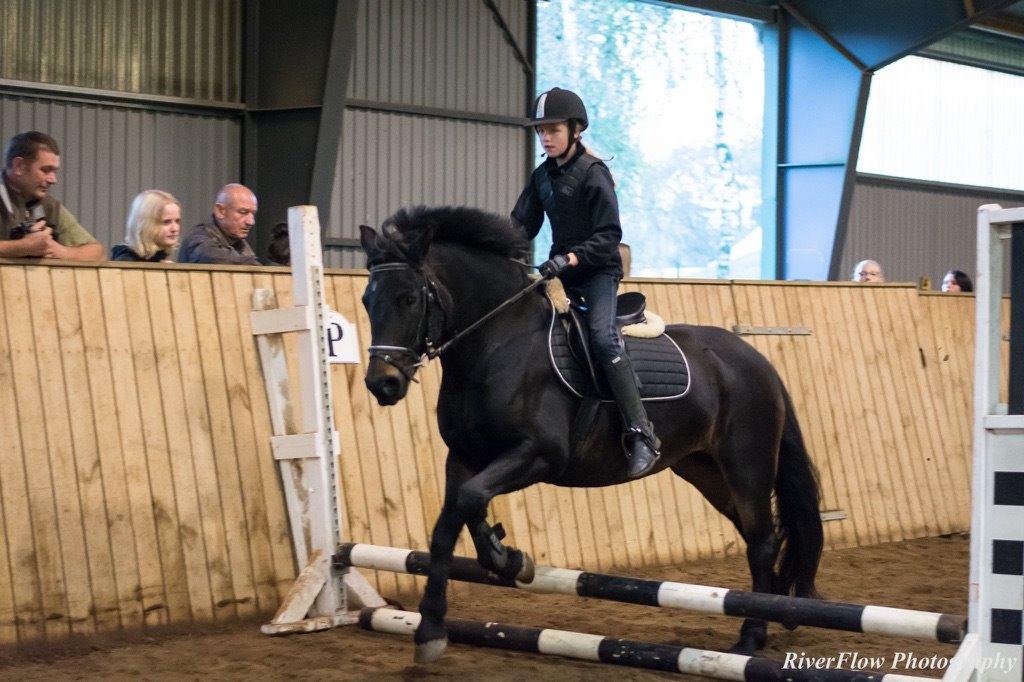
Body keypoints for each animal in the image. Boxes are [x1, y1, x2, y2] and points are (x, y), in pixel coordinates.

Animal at [358, 205, 823, 659]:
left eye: (409, 298)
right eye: (366, 300)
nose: (383, 384)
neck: (495, 346)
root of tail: (755, 360)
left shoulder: (539, 455)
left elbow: (471, 500)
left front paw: (509, 560)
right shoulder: (465, 457)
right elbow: (448, 527)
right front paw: (433, 628)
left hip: (747, 466)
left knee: (762, 541)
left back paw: (751, 634)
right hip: (705, 470)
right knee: (757, 534)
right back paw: (776, 613)